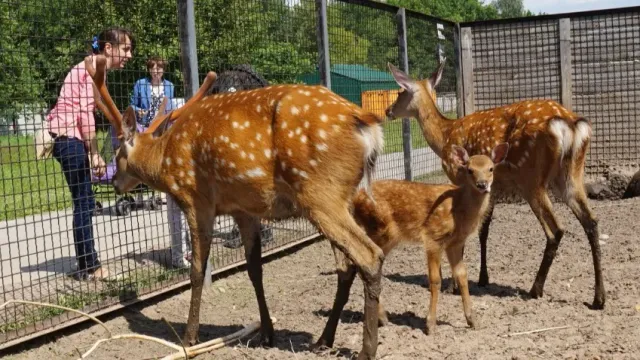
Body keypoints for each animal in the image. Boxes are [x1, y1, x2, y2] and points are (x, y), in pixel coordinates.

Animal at [85, 54, 384, 358]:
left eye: (119, 152)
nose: (115, 183)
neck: (165, 162)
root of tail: (368, 126)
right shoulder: (244, 209)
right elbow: (254, 269)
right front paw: (266, 333)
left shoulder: (197, 200)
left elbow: (197, 270)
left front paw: (189, 338)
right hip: (340, 198)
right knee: (346, 266)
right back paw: (324, 339)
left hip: (321, 193)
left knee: (369, 255)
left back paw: (366, 350)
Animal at [320, 143, 510, 340]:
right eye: (470, 169)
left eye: (491, 168)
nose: (482, 185)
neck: (459, 211)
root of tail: (354, 199)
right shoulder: (433, 236)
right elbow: (435, 280)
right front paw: (430, 325)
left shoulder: (455, 243)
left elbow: (462, 276)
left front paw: (473, 321)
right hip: (381, 230)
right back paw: (382, 318)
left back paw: (383, 318)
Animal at [384, 59, 604, 310]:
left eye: (400, 92)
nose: (387, 110)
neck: (444, 137)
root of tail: (570, 123)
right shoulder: (493, 188)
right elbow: (484, 230)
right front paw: (483, 278)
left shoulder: (459, 178)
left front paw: (453, 286)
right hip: (571, 175)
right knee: (591, 221)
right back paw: (598, 298)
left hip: (531, 178)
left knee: (556, 229)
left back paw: (535, 289)